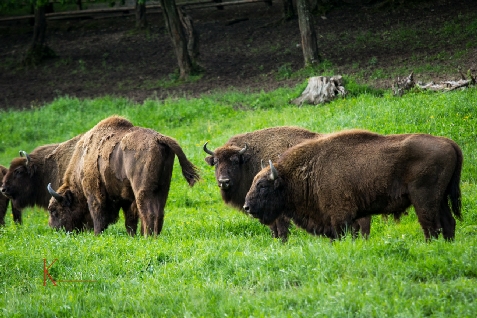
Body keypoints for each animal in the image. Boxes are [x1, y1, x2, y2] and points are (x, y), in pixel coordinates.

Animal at [46, 115, 199, 237]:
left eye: (55, 211)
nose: (54, 229)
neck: (82, 162)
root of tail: (160, 138)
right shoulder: (126, 198)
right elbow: (130, 220)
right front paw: (132, 235)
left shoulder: (94, 194)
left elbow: (98, 215)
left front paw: (97, 235)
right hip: (163, 188)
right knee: (159, 212)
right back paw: (154, 235)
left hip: (143, 190)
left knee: (148, 212)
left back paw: (147, 237)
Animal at [242, 129, 462, 241]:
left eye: (263, 185)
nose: (247, 207)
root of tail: (449, 142)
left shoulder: (340, 218)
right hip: (441, 199)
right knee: (448, 223)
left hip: (424, 200)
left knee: (431, 227)